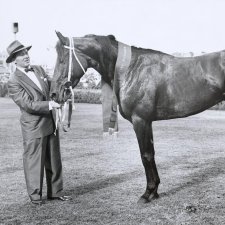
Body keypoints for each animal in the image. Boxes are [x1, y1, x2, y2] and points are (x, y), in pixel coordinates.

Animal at [51, 31, 225, 202]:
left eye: (62, 59)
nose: (54, 94)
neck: (131, 69)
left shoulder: (140, 120)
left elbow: (145, 155)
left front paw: (148, 193)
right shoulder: (147, 122)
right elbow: (151, 153)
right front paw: (155, 191)